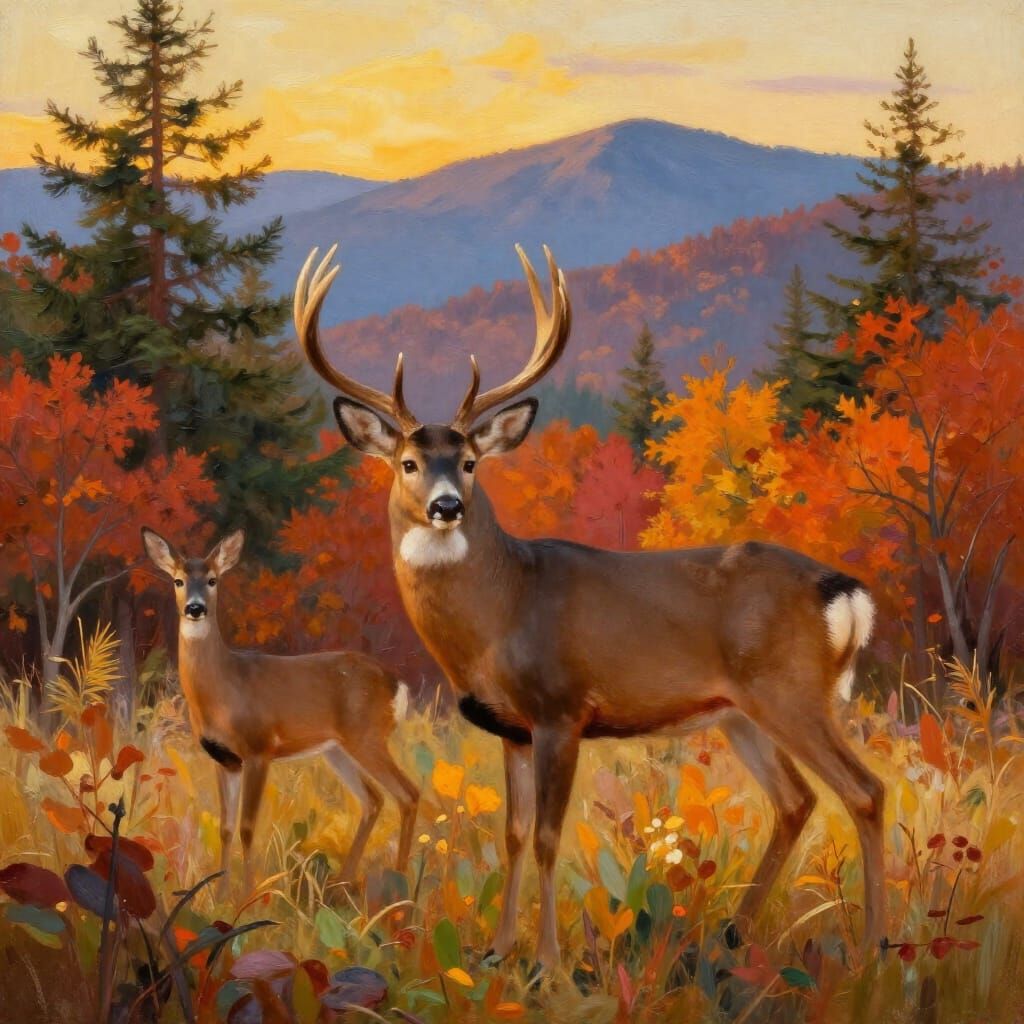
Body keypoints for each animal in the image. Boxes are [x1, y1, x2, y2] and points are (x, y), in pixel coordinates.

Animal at [141, 526, 419, 897]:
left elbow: (247, 826)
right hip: (337, 749)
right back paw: (342, 884)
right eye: (178, 580)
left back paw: (401, 887)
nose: (195, 608)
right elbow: (226, 827)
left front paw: (250, 895)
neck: (225, 688)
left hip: (368, 737)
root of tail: (396, 684)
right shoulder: (225, 759)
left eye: (213, 580)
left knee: (408, 793)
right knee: (373, 799)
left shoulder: (259, 749)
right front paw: (220, 893)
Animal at [293, 243, 885, 968]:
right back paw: (731, 933)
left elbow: (550, 836)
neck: (500, 613)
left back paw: (876, 944)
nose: (446, 506)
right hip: (740, 711)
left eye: (469, 462)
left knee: (863, 790)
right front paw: (497, 950)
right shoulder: (511, 727)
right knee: (797, 801)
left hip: (791, 690)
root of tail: (843, 591)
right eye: (408, 462)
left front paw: (547, 959)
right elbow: (514, 833)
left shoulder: (561, 709)